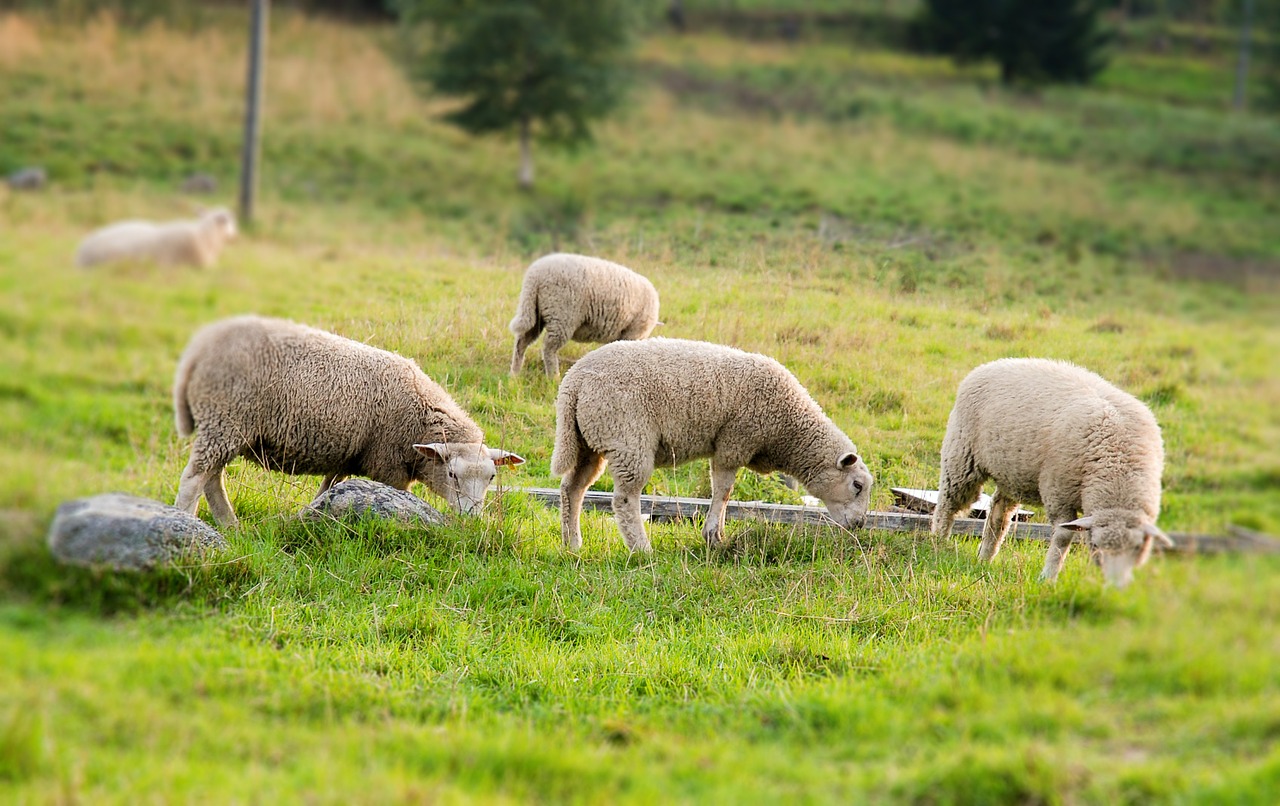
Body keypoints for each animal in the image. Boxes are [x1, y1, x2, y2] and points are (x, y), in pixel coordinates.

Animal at [174, 316, 524, 529]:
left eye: (492, 477)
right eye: (452, 474)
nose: (472, 519)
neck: (420, 415)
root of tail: (199, 349)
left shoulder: (347, 457)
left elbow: (327, 490)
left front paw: (312, 515)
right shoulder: (388, 466)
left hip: (227, 427)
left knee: (212, 478)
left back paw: (229, 524)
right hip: (225, 419)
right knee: (195, 477)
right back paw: (187, 520)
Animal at [506, 253, 660, 378]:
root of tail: (534, 277)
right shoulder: (633, 332)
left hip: (536, 312)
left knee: (521, 342)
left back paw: (514, 375)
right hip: (562, 314)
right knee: (549, 348)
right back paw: (554, 377)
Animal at [545, 337, 875, 552]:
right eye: (857, 485)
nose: (859, 524)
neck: (788, 428)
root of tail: (573, 382)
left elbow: (724, 493)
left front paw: (717, 533)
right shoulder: (734, 442)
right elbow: (724, 491)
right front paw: (713, 535)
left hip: (588, 441)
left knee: (572, 489)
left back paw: (572, 543)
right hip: (627, 437)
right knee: (624, 499)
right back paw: (641, 548)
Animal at [931, 358, 1172, 588]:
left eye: (1138, 548)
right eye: (1096, 545)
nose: (1116, 586)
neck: (1117, 465)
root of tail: (991, 364)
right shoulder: (1059, 493)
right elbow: (1063, 537)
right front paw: (1048, 577)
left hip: (1011, 474)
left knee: (999, 513)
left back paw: (985, 557)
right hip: (961, 456)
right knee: (948, 504)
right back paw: (937, 542)